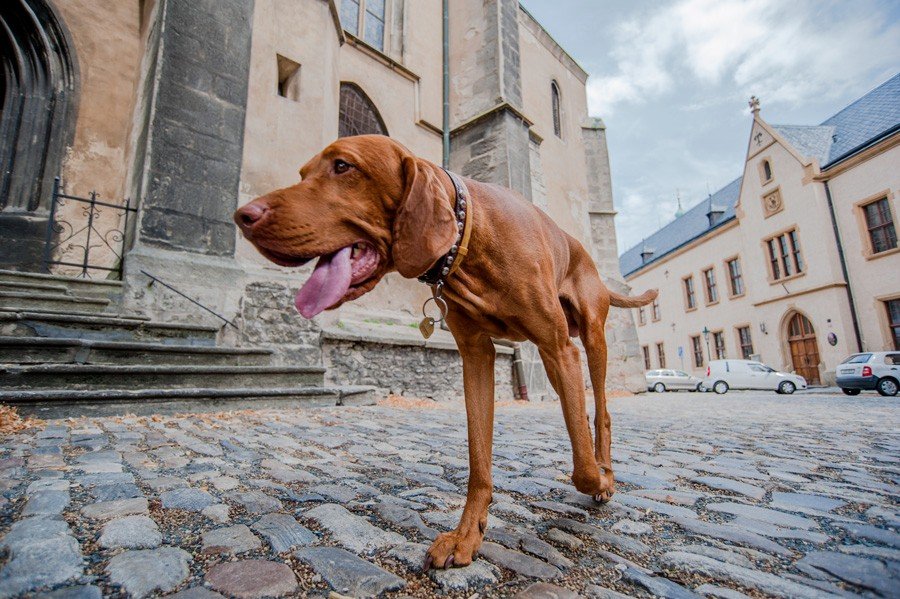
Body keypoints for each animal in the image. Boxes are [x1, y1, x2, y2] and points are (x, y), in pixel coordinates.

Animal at [232, 136, 652, 572]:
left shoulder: (558, 348)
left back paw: (606, 470)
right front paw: (467, 535)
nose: (243, 216)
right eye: (302, 174)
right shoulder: (478, 358)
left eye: (343, 166)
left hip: (589, 340)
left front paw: (600, 479)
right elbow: (479, 461)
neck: (470, 237)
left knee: (600, 412)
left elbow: (582, 469)